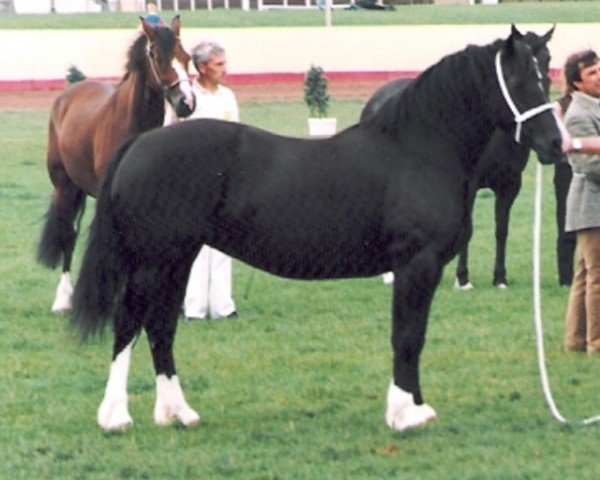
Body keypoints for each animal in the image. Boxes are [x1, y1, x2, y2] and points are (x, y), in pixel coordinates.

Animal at [36, 15, 195, 312]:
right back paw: (63, 299)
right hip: (64, 187)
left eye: (187, 56)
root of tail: (70, 93)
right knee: (68, 235)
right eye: (158, 56)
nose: (187, 103)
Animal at [358, 25, 556, 288]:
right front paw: (462, 278)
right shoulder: (469, 186)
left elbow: (501, 229)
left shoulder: (510, 185)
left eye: (547, 59)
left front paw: (499, 277)